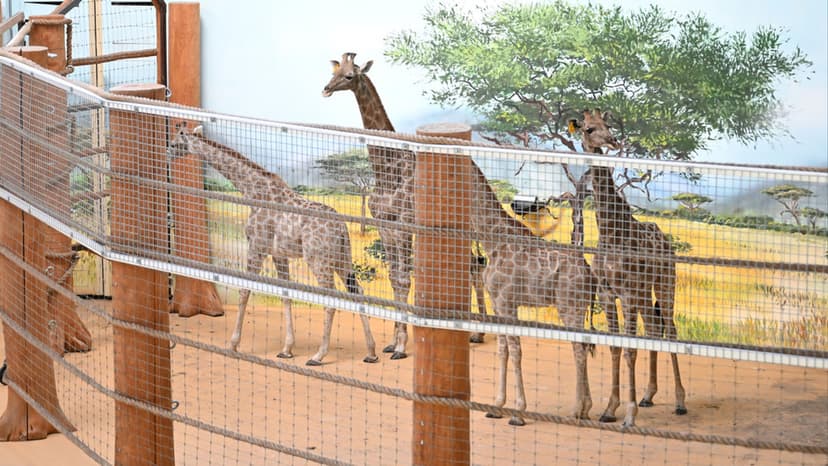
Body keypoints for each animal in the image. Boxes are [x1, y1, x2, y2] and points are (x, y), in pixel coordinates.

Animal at [168, 123, 378, 366]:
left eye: (174, 143)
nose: (166, 152)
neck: (252, 192)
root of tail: (341, 227)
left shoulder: (257, 246)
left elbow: (244, 291)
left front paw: (233, 344)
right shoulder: (279, 254)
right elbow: (285, 294)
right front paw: (287, 349)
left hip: (319, 259)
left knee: (331, 299)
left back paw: (318, 355)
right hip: (342, 257)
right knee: (357, 290)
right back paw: (371, 352)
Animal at [322, 52, 490, 351]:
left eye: (350, 75)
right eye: (334, 71)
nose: (326, 89)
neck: (387, 171)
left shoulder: (403, 225)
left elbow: (402, 278)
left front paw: (401, 346)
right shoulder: (384, 226)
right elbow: (393, 279)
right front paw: (392, 342)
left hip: (469, 227)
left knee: (475, 266)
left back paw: (477, 331)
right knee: (473, 265)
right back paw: (474, 332)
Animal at [568, 109, 687, 427]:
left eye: (608, 124)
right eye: (588, 128)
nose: (612, 141)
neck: (611, 232)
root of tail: (666, 240)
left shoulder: (629, 293)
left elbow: (630, 349)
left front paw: (629, 413)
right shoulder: (608, 293)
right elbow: (615, 346)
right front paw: (610, 409)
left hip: (665, 283)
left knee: (670, 330)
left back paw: (680, 402)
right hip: (646, 294)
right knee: (655, 328)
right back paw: (648, 395)